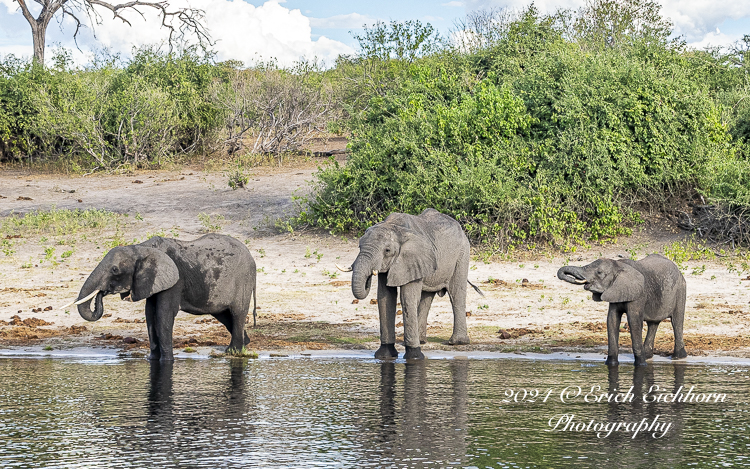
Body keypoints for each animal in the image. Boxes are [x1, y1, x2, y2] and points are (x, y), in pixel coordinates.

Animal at [68, 232, 262, 360]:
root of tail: (251, 257)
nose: (101, 294)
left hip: (243, 280)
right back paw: (245, 343)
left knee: (237, 313)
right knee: (222, 314)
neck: (140, 248)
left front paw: (167, 361)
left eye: (115, 270)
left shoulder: (175, 281)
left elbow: (163, 316)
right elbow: (150, 316)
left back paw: (233, 352)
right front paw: (152, 360)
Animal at [340, 207, 484, 358]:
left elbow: (407, 298)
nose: (369, 276)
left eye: (387, 250)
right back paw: (421, 341)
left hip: (462, 255)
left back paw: (457, 342)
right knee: (427, 297)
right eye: (359, 246)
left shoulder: (412, 260)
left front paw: (414, 356)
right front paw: (384, 355)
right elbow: (385, 299)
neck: (394, 227)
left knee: (456, 295)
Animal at [560, 252, 688, 366]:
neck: (619, 266)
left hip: (680, 289)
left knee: (677, 321)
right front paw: (611, 364)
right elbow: (612, 320)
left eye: (599, 272)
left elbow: (634, 321)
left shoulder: (638, 294)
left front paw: (641, 365)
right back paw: (648, 356)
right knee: (653, 324)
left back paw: (678, 357)